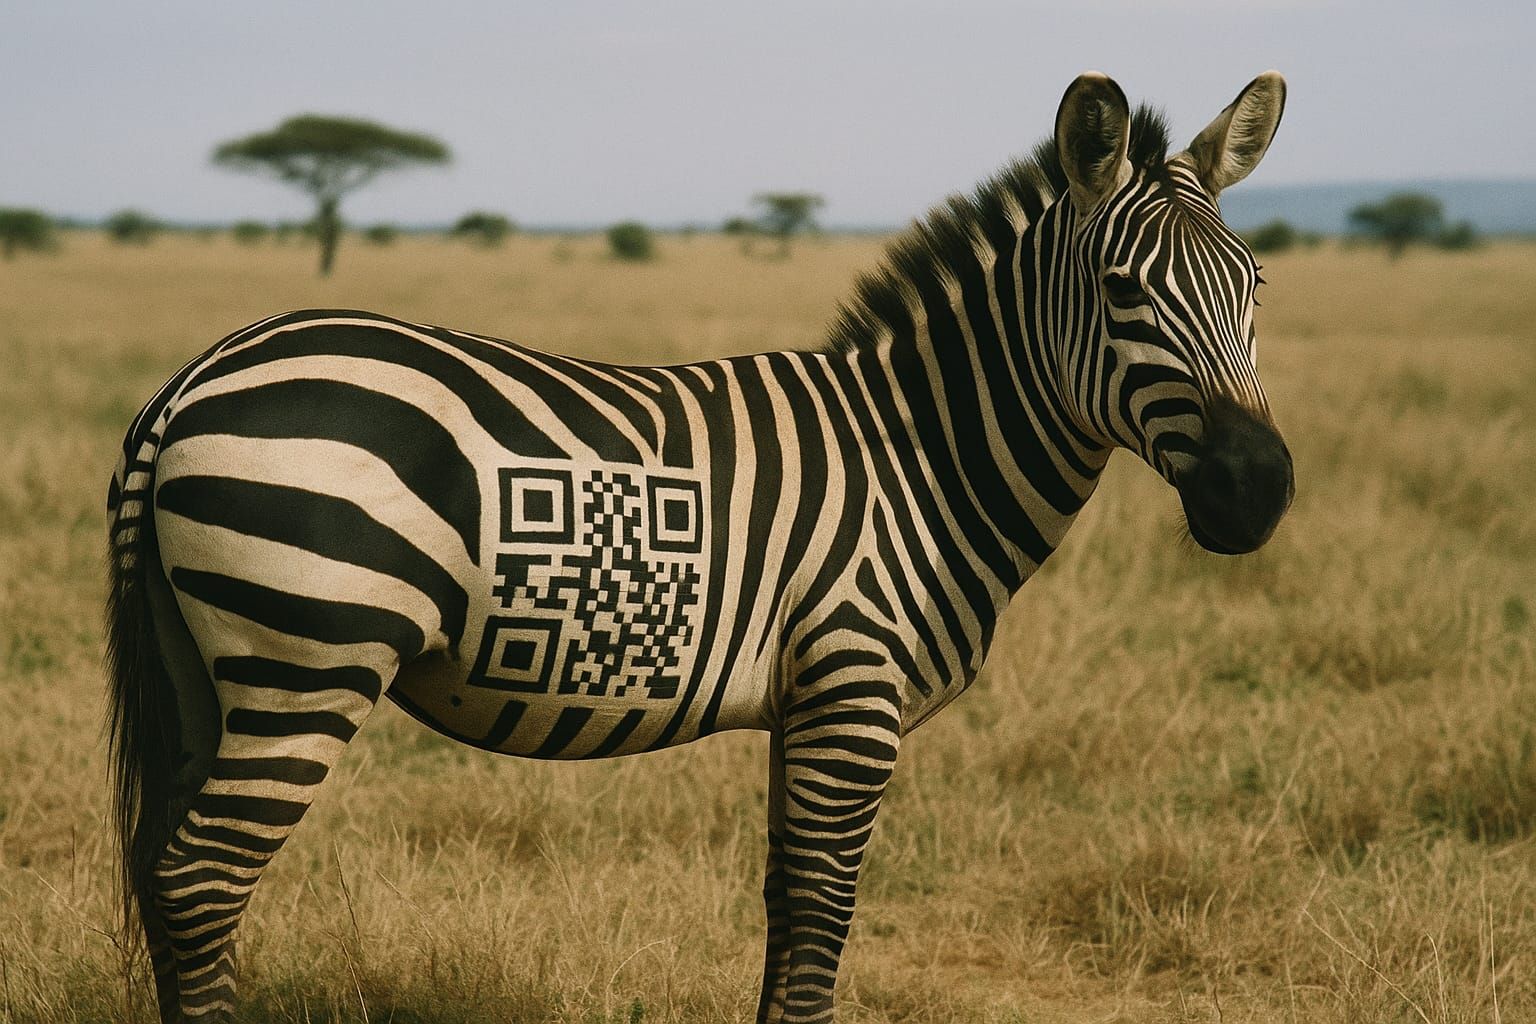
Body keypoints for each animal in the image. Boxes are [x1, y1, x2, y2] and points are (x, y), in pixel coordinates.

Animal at [106, 71, 1292, 1022]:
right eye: (1123, 292)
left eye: (1255, 286)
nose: (1262, 492)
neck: (922, 453)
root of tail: (194, 377)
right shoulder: (854, 688)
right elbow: (822, 916)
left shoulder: (808, 702)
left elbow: (785, 904)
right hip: (311, 655)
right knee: (203, 878)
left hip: (205, 668)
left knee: (165, 876)